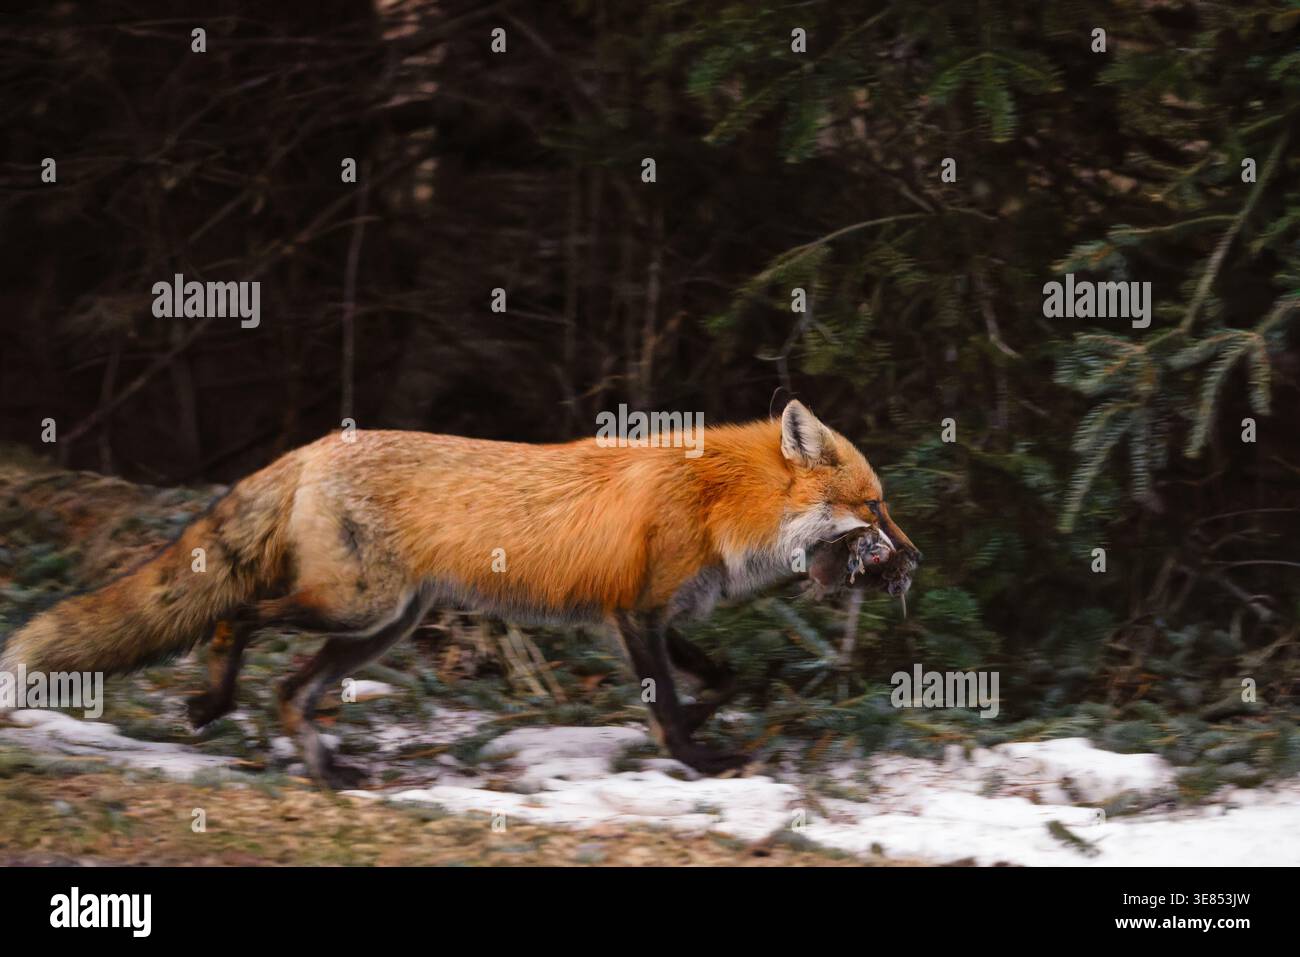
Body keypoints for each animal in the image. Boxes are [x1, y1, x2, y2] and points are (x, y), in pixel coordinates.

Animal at [0, 401, 919, 785]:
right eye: (875, 508)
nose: (912, 558)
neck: (722, 501)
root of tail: (311, 448)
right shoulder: (635, 612)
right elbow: (666, 704)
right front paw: (694, 758)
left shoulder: (657, 616)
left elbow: (728, 678)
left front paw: (700, 724)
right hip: (357, 606)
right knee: (235, 617)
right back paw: (217, 702)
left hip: (383, 627)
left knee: (292, 690)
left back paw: (327, 769)